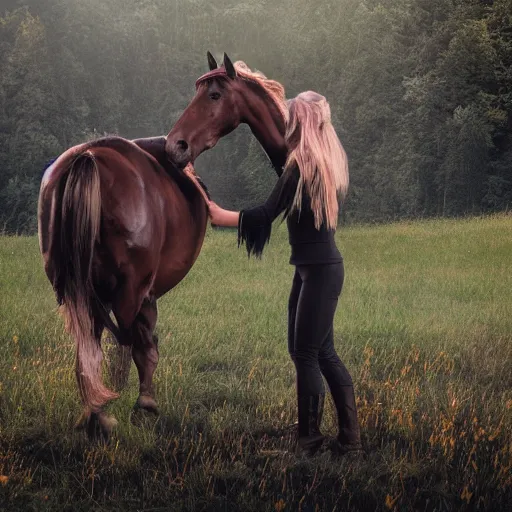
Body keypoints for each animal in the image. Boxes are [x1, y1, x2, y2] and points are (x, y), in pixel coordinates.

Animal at [37, 136, 210, 440]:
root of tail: (88, 156)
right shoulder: (142, 294)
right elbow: (144, 349)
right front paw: (146, 404)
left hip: (79, 296)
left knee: (88, 351)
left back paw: (95, 414)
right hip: (128, 294)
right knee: (126, 347)